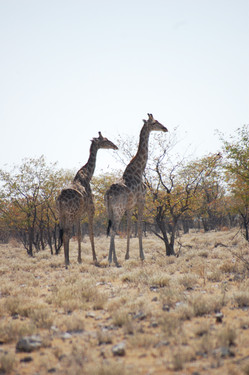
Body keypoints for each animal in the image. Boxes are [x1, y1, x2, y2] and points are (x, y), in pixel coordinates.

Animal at [57, 132, 118, 268]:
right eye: (105, 140)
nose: (115, 146)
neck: (88, 175)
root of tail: (60, 200)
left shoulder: (79, 214)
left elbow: (79, 234)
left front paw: (79, 259)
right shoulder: (91, 210)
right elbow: (91, 233)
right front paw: (95, 258)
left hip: (62, 215)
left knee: (64, 233)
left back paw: (66, 260)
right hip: (70, 214)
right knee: (66, 233)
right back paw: (67, 262)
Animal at [104, 113, 167, 266]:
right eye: (155, 122)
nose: (165, 128)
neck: (138, 170)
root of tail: (108, 194)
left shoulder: (130, 206)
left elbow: (129, 228)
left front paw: (127, 255)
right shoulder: (141, 199)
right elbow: (138, 227)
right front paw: (142, 255)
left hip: (109, 209)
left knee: (111, 229)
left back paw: (113, 258)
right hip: (118, 209)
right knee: (114, 230)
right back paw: (112, 260)